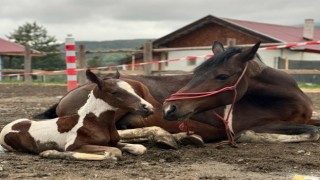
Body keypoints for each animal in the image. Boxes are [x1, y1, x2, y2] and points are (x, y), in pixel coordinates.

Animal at [0, 69, 154, 161]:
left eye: (132, 89)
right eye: (114, 92)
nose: (148, 108)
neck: (94, 122)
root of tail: (6, 128)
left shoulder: (113, 142)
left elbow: (140, 148)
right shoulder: (75, 146)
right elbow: (112, 153)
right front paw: (50, 152)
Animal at [164, 40, 318, 145]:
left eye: (223, 76)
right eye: (196, 73)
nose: (169, 107)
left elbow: (314, 129)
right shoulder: (258, 124)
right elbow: (314, 131)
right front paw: (248, 136)